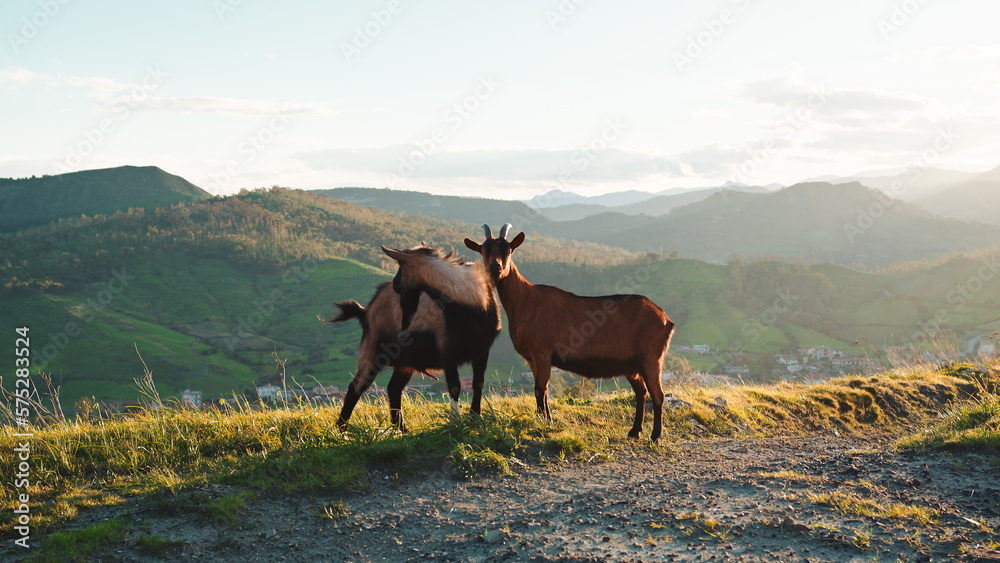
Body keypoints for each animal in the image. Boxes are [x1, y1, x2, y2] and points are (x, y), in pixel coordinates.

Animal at [464, 224, 676, 440]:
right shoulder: (531, 358)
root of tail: (666, 319)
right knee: (641, 392)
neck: (524, 302)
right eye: (483, 250)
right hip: (632, 364)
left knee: (658, 395)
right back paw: (634, 431)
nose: (495, 267)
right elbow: (543, 390)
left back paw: (655, 435)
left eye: (508, 250)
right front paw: (545, 418)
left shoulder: (542, 352)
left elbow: (540, 389)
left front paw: (544, 421)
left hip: (652, 358)